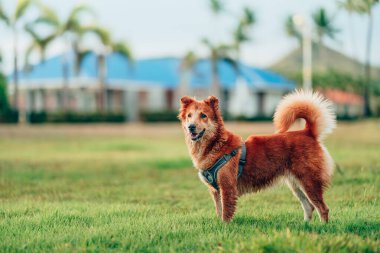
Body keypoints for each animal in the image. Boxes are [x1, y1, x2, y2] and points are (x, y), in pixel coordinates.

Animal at [178, 90, 336, 222]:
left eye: (203, 115)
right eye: (189, 116)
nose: (191, 127)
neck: (216, 144)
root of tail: (307, 132)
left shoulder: (227, 188)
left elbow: (226, 214)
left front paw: (224, 227)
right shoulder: (216, 191)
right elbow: (219, 211)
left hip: (309, 181)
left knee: (323, 208)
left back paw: (322, 227)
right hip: (296, 184)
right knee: (309, 206)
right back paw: (305, 227)